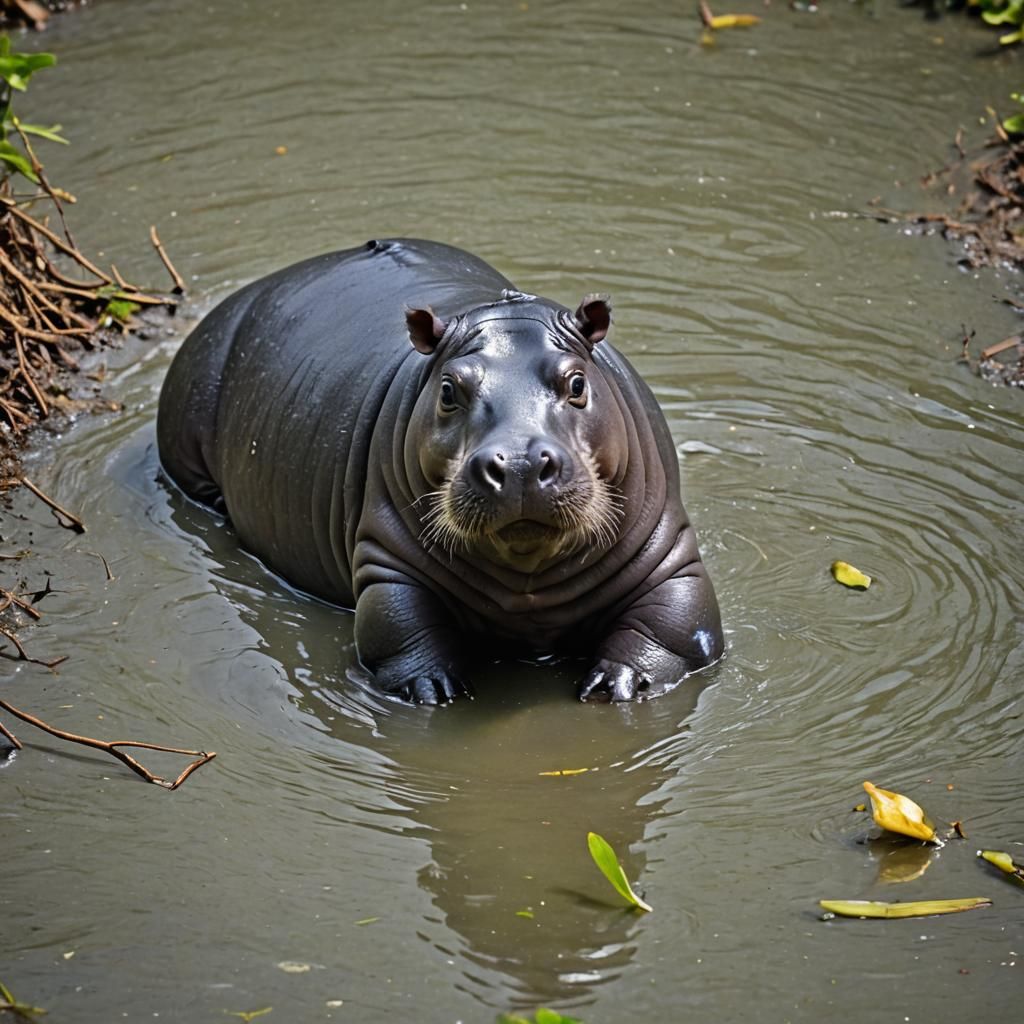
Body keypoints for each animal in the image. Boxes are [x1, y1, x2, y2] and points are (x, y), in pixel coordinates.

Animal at [157, 239, 723, 704]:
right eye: (449, 389)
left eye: (578, 382)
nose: (519, 462)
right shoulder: (386, 560)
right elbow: (399, 625)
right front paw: (432, 687)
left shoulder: (669, 553)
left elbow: (675, 624)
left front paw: (620, 683)